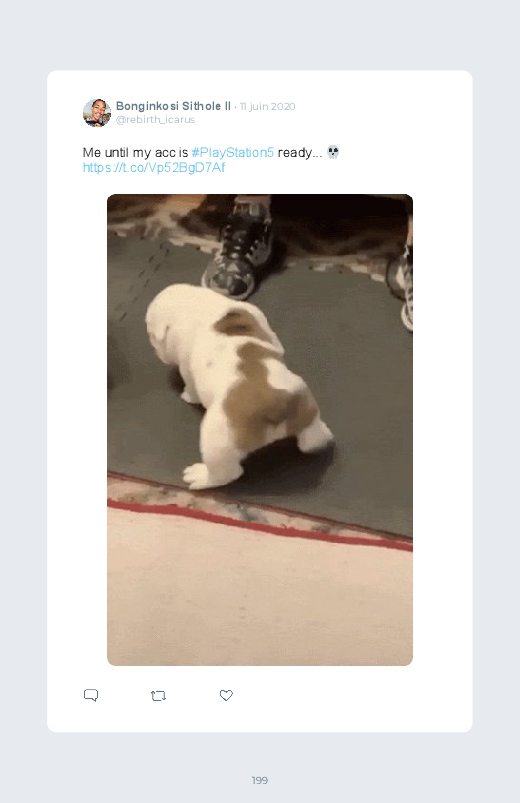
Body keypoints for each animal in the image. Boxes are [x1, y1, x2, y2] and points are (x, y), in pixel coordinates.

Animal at [145, 284, 334, 490]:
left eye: (152, 336)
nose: (155, 349)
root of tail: (277, 404)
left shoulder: (186, 365)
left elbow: (190, 386)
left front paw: (187, 395)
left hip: (217, 439)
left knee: (228, 473)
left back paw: (199, 477)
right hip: (307, 408)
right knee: (313, 439)